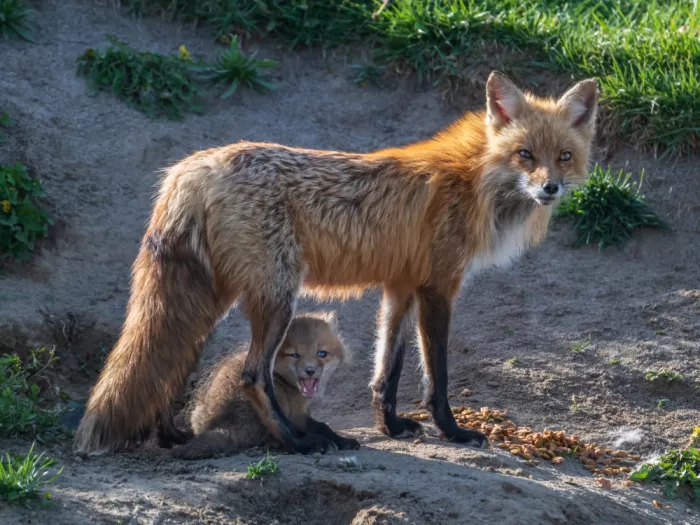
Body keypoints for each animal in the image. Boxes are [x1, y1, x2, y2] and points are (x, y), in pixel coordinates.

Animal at [172, 312, 358, 459]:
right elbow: (314, 428)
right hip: (273, 396)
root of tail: (223, 425)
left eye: (322, 353)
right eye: (294, 355)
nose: (310, 370)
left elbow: (322, 426)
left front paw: (342, 440)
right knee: (272, 438)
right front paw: (328, 442)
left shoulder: (301, 413)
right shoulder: (294, 414)